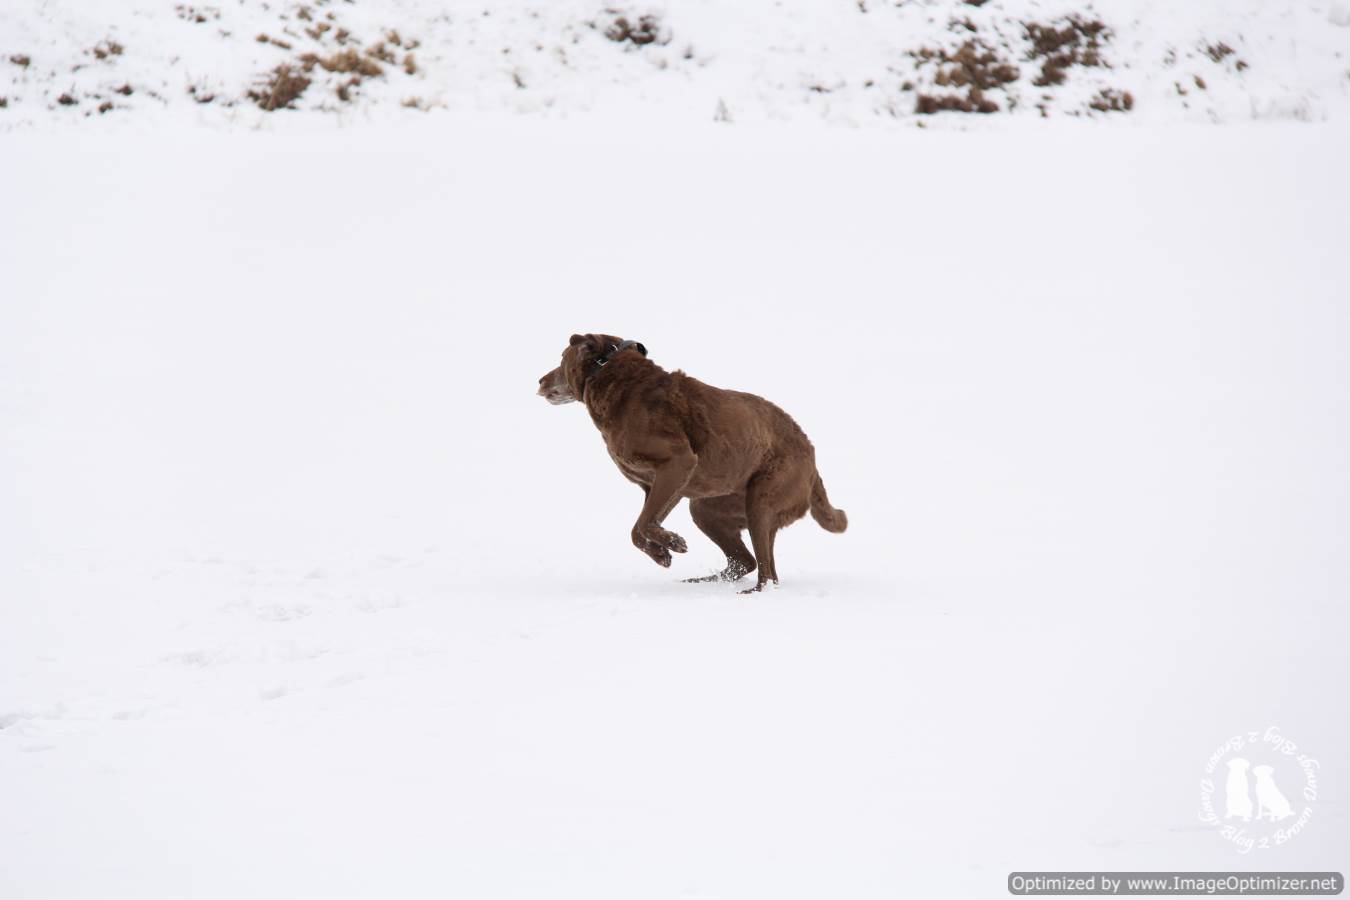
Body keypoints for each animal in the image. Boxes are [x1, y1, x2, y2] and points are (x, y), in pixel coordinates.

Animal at [537, 333, 847, 592]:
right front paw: (662, 554)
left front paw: (674, 544)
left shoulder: (678, 463)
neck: (612, 379)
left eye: (561, 357)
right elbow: (638, 529)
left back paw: (751, 592)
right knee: (749, 562)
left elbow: (644, 523)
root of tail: (812, 456)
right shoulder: (662, 485)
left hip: (763, 498)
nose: (540, 380)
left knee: (765, 570)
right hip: (708, 507)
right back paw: (703, 581)